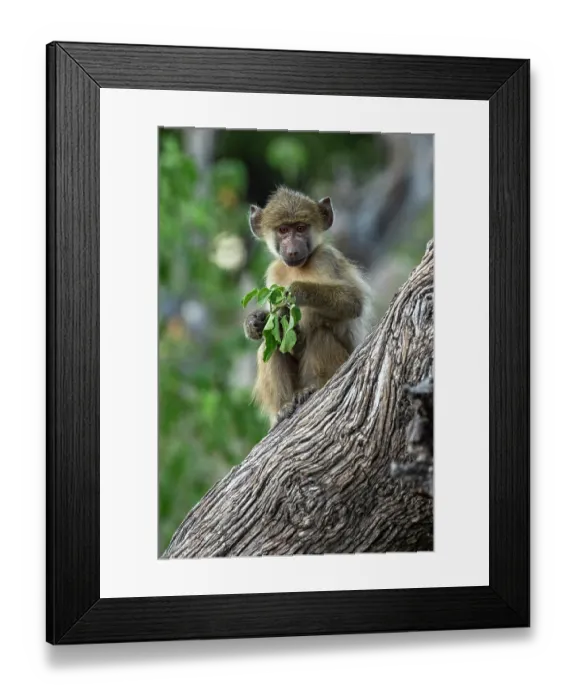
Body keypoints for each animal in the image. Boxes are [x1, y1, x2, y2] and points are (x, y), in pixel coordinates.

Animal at [244, 186, 371, 427]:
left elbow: (352, 301)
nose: (292, 250)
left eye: (301, 228)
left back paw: (312, 388)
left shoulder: (325, 259)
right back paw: (284, 407)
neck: (297, 267)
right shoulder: (275, 271)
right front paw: (255, 323)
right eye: (283, 230)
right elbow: (271, 327)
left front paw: (297, 292)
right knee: (270, 344)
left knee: (320, 334)